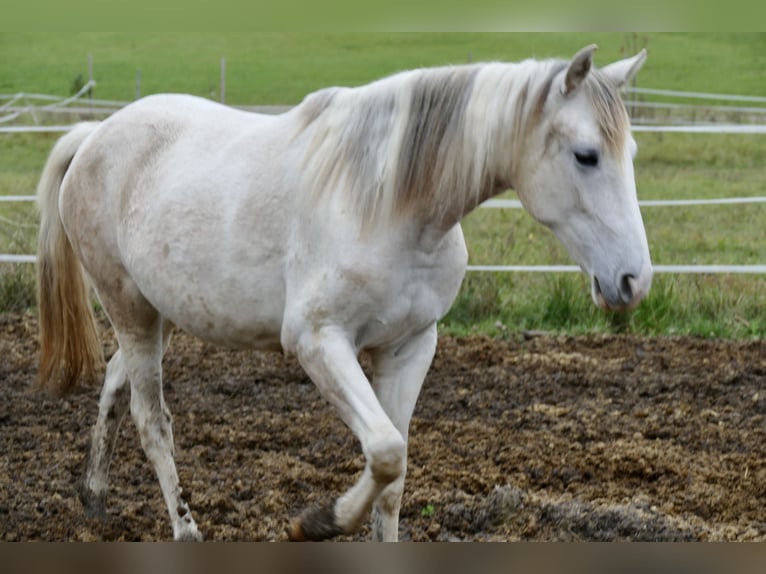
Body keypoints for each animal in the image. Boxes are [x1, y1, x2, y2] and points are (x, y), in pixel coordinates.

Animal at [34, 46, 648, 544]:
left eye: (631, 152)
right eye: (587, 155)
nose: (634, 280)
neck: (387, 202)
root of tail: (93, 138)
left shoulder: (410, 347)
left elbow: (395, 475)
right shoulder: (319, 342)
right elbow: (385, 452)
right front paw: (315, 523)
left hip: (162, 313)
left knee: (116, 383)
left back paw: (94, 495)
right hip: (130, 307)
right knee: (152, 419)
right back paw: (185, 529)